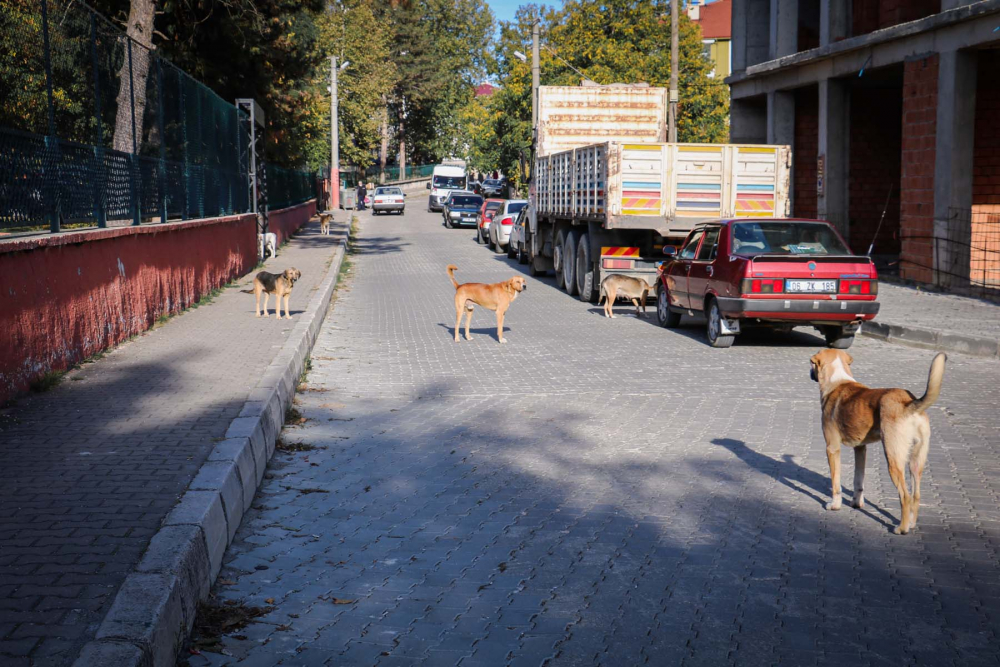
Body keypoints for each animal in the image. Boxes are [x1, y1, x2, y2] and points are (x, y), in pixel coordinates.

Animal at [808, 352, 948, 536]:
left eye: (812, 364)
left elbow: (836, 483)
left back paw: (902, 528)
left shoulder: (832, 448)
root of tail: (908, 402)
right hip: (916, 462)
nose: (809, 374)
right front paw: (856, 504)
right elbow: (858, 481)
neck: (837, 381)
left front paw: (834, 506)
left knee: (905, 495)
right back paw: (911, 523)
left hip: (893, 459)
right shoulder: (860, 448)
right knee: (915, 495)